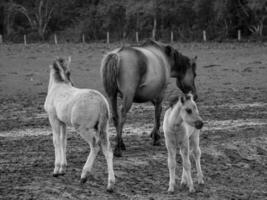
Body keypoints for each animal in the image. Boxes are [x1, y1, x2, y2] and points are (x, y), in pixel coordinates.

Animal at [44, 57, 115, 191]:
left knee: (95, 146)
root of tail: (101, 102)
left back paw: (84, 175)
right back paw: (110, 184)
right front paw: (62, 168)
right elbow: (63, 142)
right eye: (69, 72)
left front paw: (56, 170)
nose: (72, 83)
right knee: (108, 150)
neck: (58, 86)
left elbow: (56, 141)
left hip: (83, 129)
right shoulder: (63, 122)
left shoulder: (53, 119)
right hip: (103, 129)